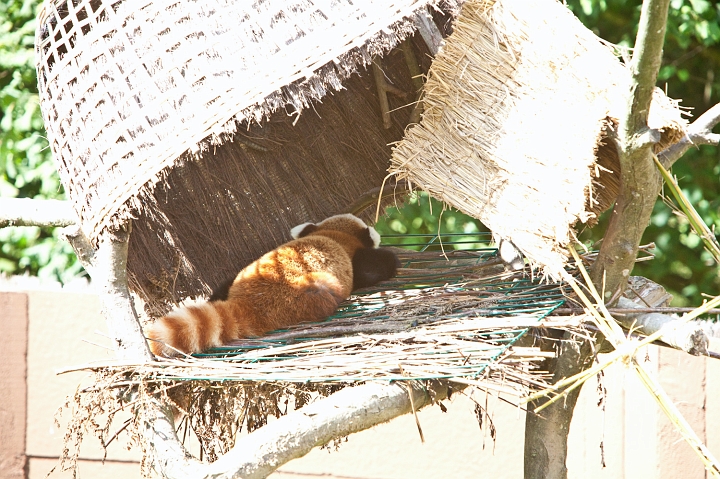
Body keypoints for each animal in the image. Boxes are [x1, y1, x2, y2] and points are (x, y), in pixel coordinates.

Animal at [146, 214, 399, 357]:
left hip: (241, 274)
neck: (334, 234)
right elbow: (373, 268)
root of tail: (248, 303)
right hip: (311, 292)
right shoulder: (356, 258)